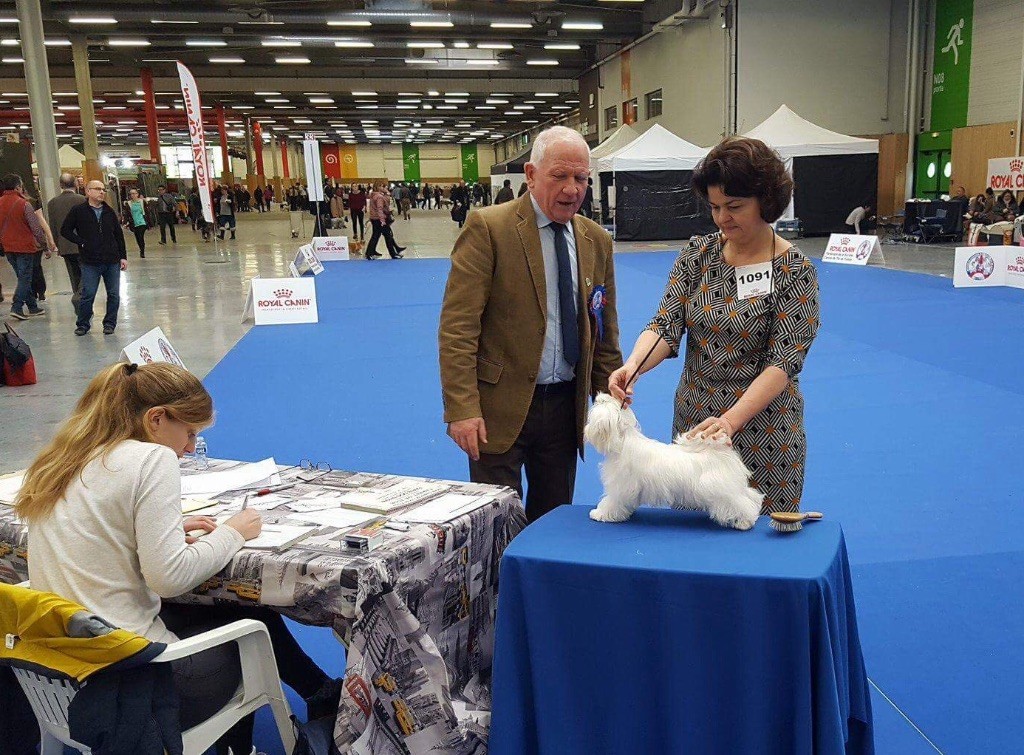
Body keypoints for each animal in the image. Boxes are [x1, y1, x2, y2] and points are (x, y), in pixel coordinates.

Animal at [589, 391, 765, 528]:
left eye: (591, 419)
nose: (587, 429)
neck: (623, 442)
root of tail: (720, 451)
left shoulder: (621, 486)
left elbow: (612, 501)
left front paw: (601, 513)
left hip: (723, 491)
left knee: (741, 504)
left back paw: (744, 522)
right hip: (732, 486)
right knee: (750, 496)